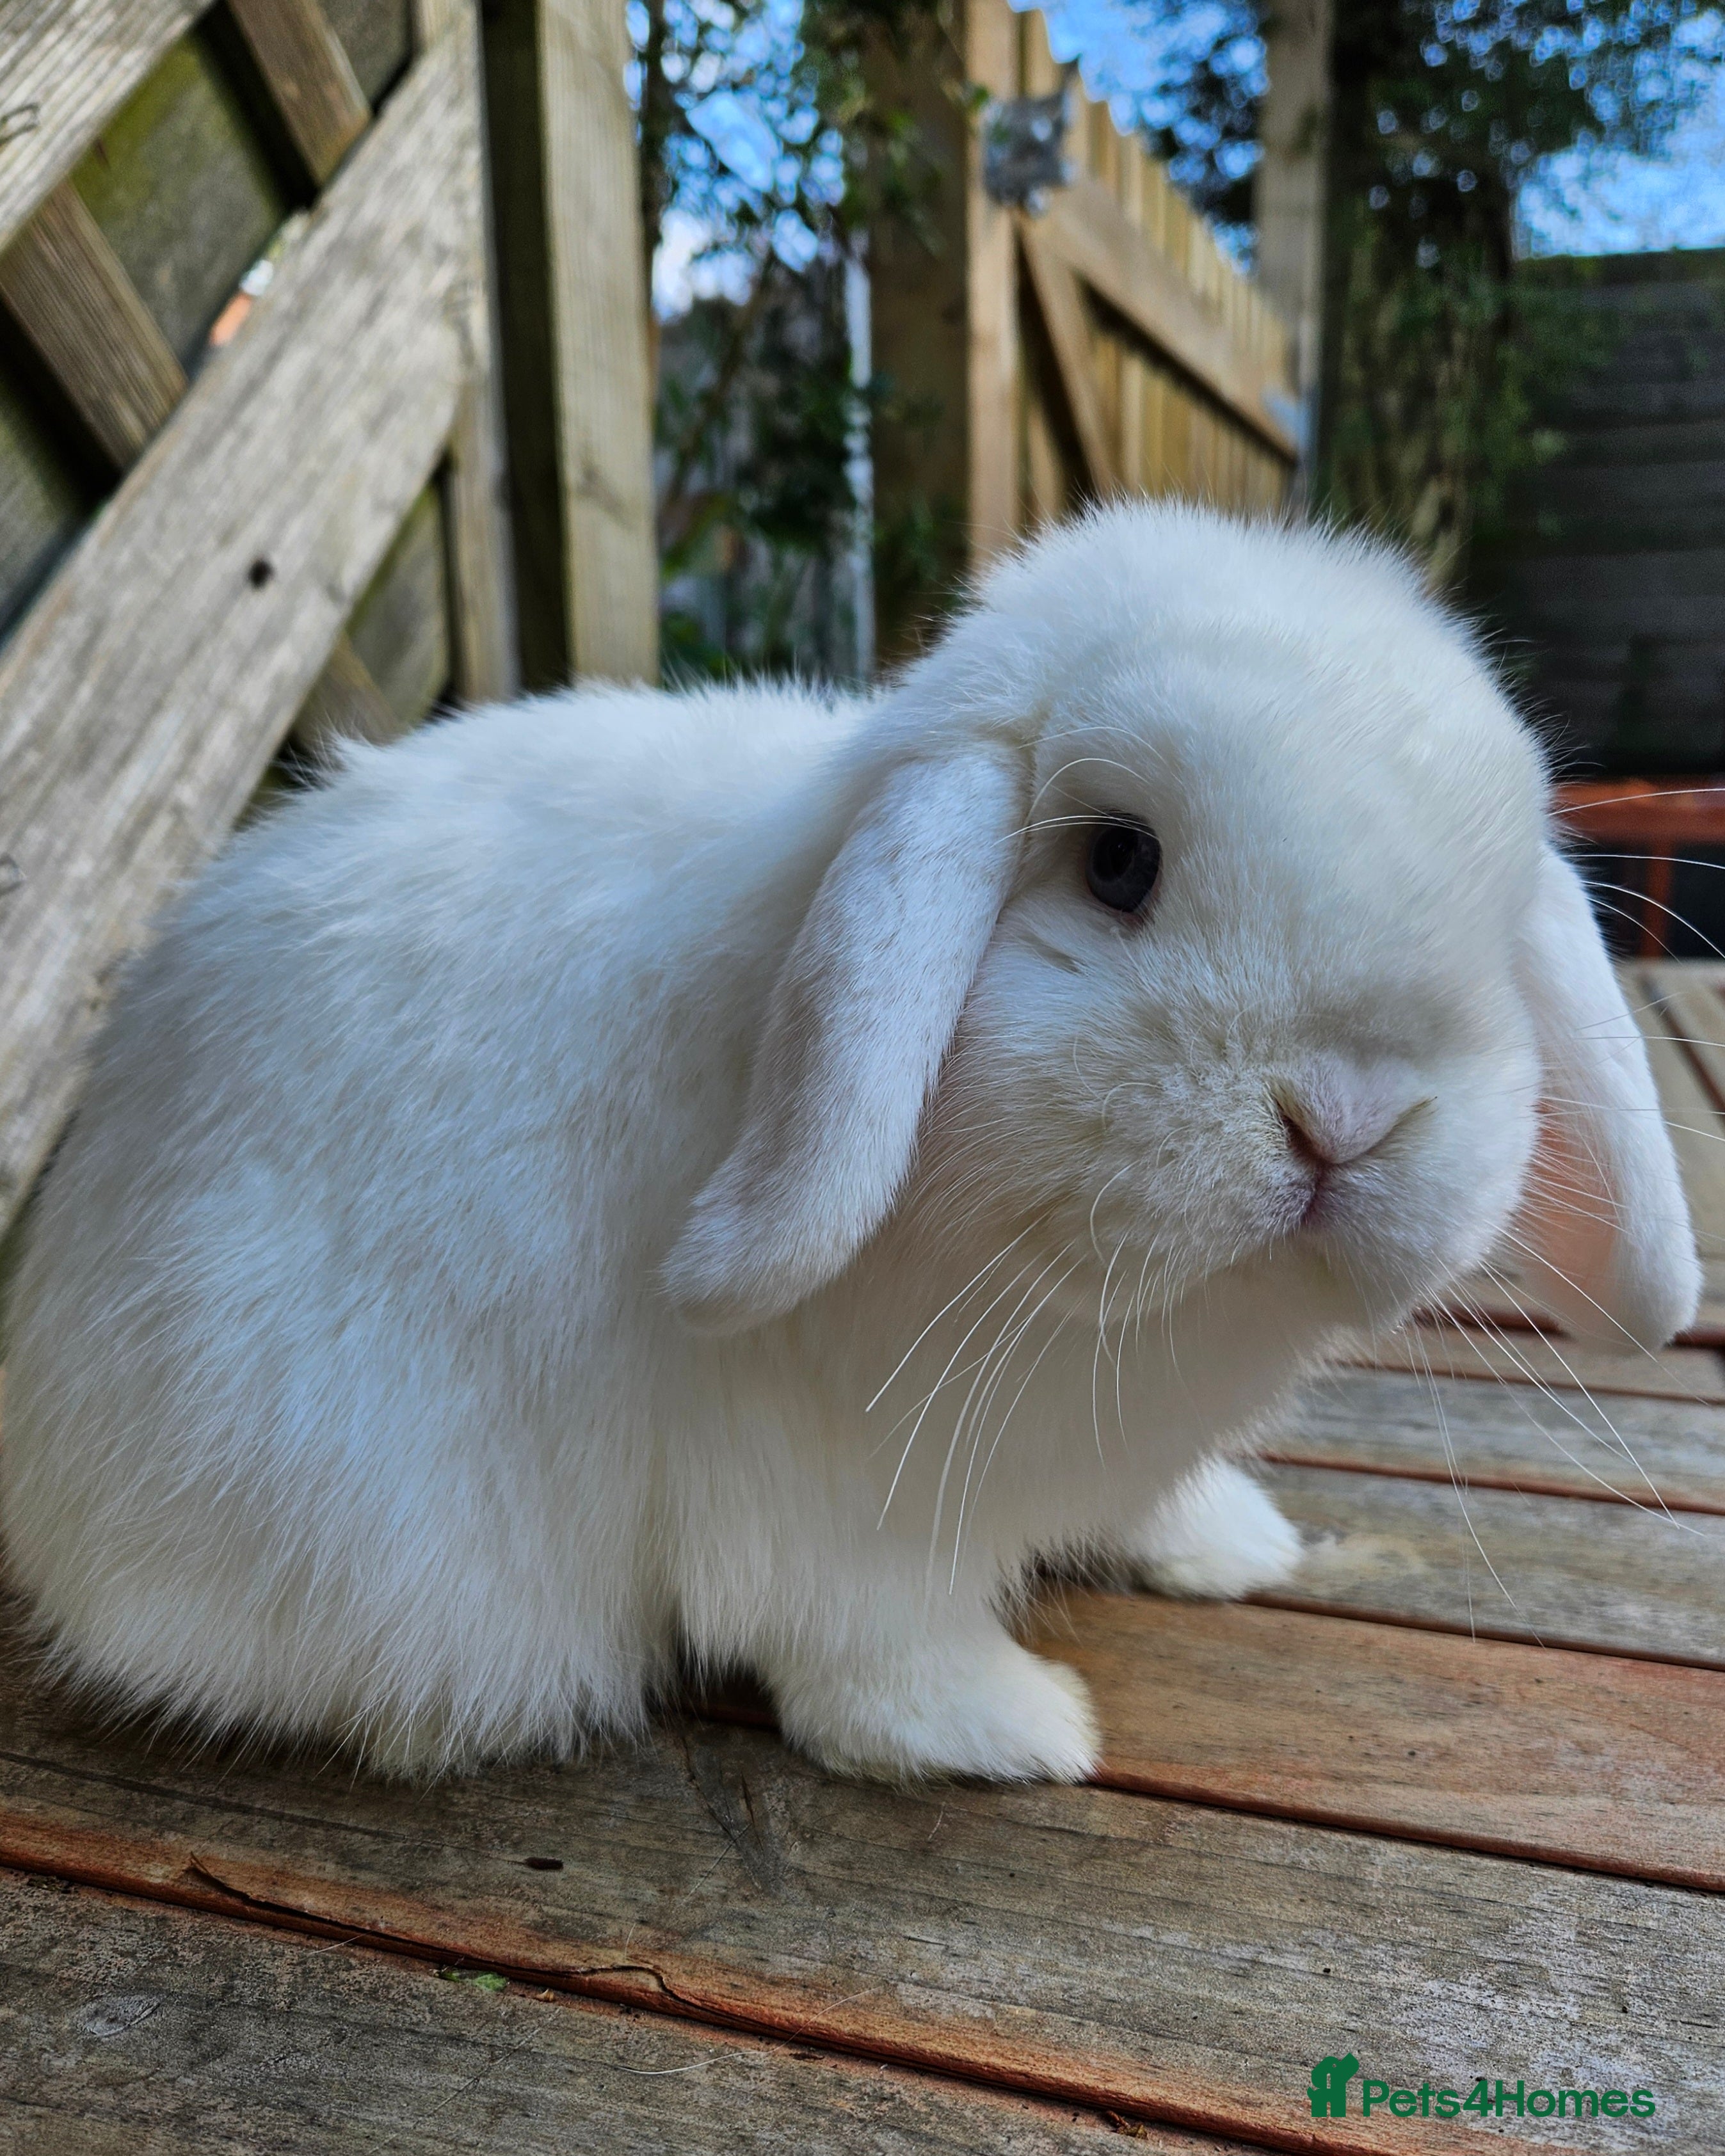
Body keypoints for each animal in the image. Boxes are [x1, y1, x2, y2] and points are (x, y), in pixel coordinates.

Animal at [0, 502, 1697, 1784]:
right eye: (1119, 862)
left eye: (1497, 908)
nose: (1345, 1121)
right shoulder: (823, 1506)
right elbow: (867, 1650)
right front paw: (1015, 1729)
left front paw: (1229, 1544)